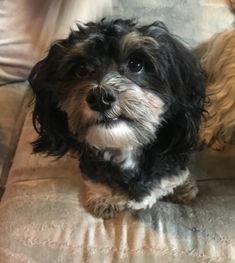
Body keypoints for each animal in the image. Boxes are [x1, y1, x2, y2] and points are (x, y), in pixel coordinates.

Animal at [29, 19, 205, 220]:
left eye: (136, 64)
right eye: (80, 69)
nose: (100, 98)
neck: (125, 146)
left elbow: (174, 177)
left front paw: (181, 187)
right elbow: (97, 182)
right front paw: (103, 199)